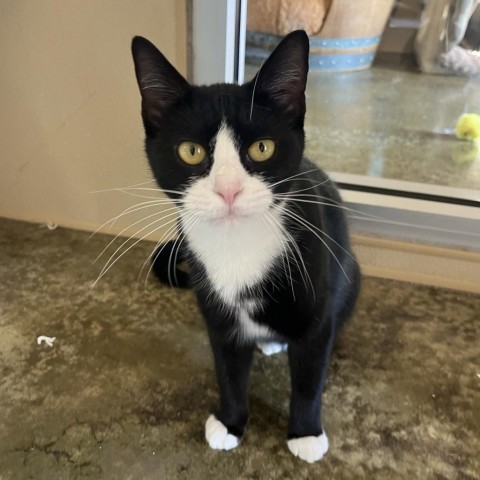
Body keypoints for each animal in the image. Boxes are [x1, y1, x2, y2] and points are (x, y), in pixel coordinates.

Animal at [131, 31, 360, 464]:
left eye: (262, 148)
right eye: (190, 151)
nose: (229, 190)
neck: (237, 246)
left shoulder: (316, 302)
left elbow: (310, 374)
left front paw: (306, 433)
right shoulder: (217, 313)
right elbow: (228, 368)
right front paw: (230, 422)